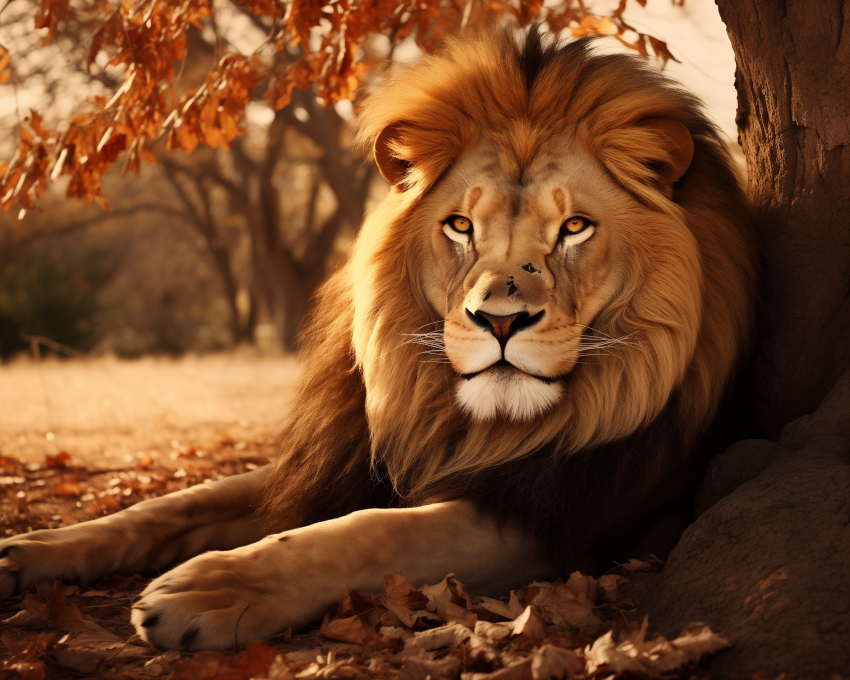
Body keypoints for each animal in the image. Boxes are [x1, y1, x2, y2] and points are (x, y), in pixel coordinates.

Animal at [0, 29, 755, 651]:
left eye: (574, 228)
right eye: (460, 226)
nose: (499, 321)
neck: (463, 424)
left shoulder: (555, 516)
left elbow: (373, 532)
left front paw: (210, 589)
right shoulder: (341, 458)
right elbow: (177, 502)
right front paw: (33, 546)